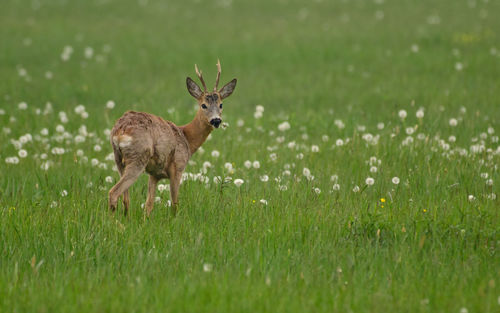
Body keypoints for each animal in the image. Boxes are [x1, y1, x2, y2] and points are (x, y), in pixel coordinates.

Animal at [108, 59, 236, 216]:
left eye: (221, 105)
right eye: (203, 105)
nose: (216, 120)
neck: (187, 138)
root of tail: (119, 131)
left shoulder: (154, 174)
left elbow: (148, 205)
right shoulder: (178, 167)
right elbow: (175, 204)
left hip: (118, 160)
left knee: (126, 199)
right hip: (138, 157)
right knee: (114, 192)